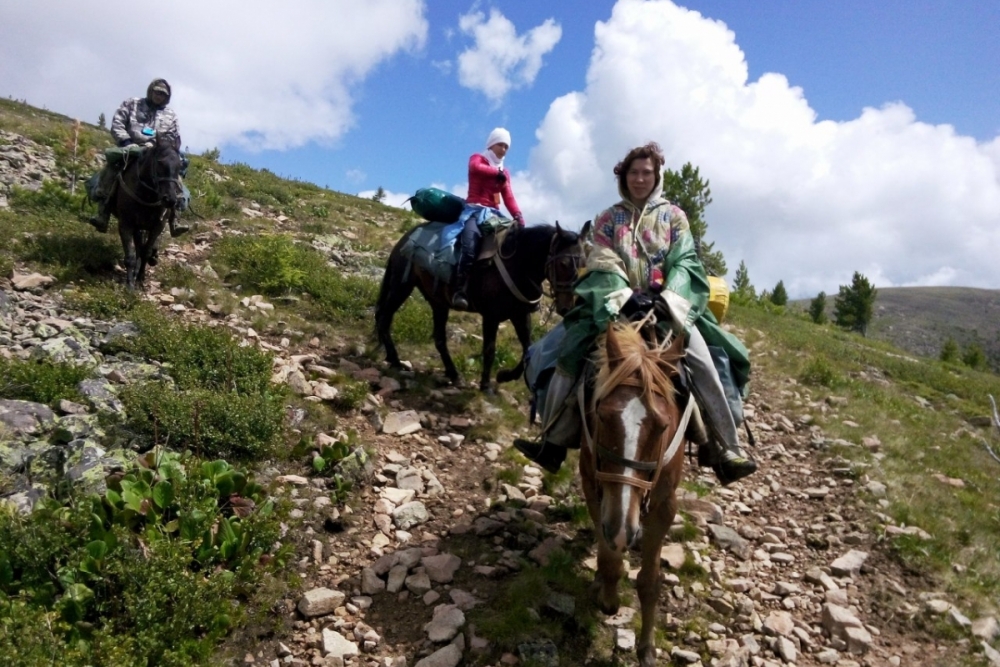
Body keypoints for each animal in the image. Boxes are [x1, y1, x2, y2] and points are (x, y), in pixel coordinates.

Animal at [110, 136, 185, 290]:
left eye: (180, 166)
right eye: (160, 163)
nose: (170, 200)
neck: (147, 196)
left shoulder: (158, 226)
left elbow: (146, 252)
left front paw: (140, 279)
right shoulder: (126, 224)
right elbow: (131, 256)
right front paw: (130, 285)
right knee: (138, 247)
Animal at [376, 223, 592, 392]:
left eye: (584, 263)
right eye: (563, 263)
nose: (567, 307)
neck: (518, 265)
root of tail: (405, 239)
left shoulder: (520, 315)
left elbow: (528, 349)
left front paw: (504, 376)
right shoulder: (491, 316)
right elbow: (489, 350)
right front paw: (486, 385)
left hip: (438, 303)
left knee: (439, 339)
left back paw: (454, 375)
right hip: (401, 286)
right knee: (384, 318)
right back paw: (395, 360)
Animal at [580, 318, 696, 667]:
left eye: (663, 426)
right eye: (601, 414)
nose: (623, 530)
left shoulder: (665, 507)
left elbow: (649, 581)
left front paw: (646, 648)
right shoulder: (593, 486)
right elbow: (609, 558)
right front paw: (607, 598)